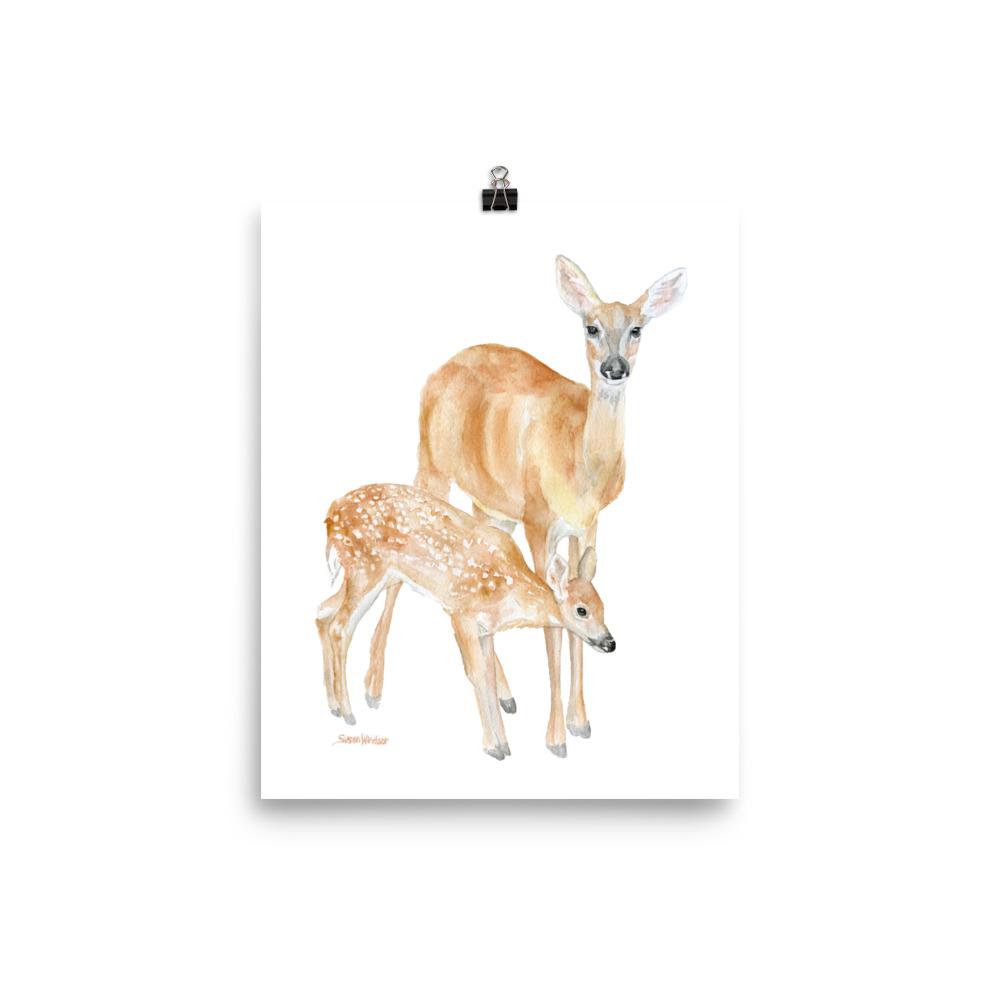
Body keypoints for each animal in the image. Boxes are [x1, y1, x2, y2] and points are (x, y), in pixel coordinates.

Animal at [315, 484, 615, 759]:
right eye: (581, 610)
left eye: (603, 607)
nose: (610, 642)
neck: (509, 593)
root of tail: (330, 514)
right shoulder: (461, 612)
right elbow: (476, 673)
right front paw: (493, 747)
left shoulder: (486, 629)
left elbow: (490, 676)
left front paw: (505, 743)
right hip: (366, 568)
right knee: (340, 627)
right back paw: (348, 712)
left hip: (369, 575)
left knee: (323, 612)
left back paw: (333, 706)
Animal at [364, 256, 687, 756]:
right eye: (591, 326)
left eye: (637, 328)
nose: (614, 368)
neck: (579, 466)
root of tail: (438, 370)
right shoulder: (539, 519)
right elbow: (552, 624)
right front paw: (555, 737)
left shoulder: (587, 526)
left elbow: (577, 599)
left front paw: (580, 721)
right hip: (432, 465)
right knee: (402, 557)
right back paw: (374, 687)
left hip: (491, 508)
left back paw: (505, 693)